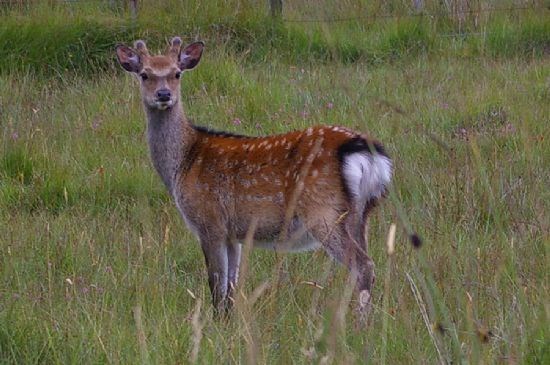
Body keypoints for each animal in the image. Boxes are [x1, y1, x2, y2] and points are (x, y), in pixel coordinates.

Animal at [115, 37, 392, 320]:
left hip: (323, 211)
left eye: (176, 73)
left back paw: (359, 323)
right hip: (360, 215)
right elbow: (232, 284)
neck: (182, 163)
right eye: (144, 74)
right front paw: (229, 320)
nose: (163, 95)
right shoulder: (232, 233)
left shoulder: (209, 221)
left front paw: (216, 322)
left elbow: (216, 283)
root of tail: (365, 153)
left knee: (363, 265)